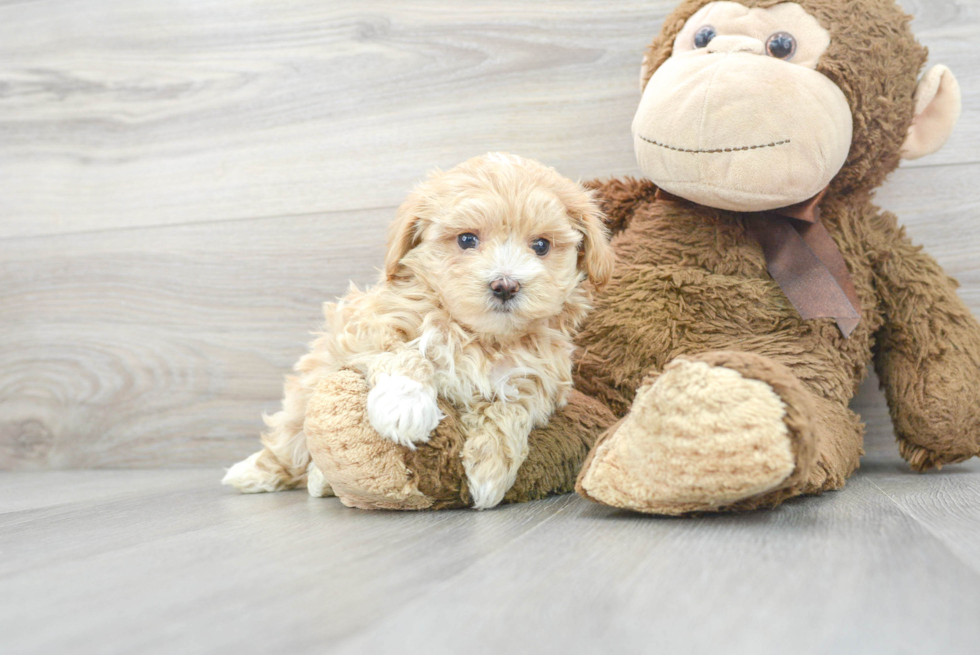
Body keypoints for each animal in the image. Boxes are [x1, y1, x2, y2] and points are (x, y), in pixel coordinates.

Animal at [226, 155, 616, 512]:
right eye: (467, 239)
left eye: (541, 246)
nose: (505, 285)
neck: (479, 336)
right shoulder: (369, 328)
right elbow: (404, 353)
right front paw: (405, 406)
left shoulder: (540, 376)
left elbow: (512, 407)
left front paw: (490, 472)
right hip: (304, 395)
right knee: (287, 444)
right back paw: (253, 473)